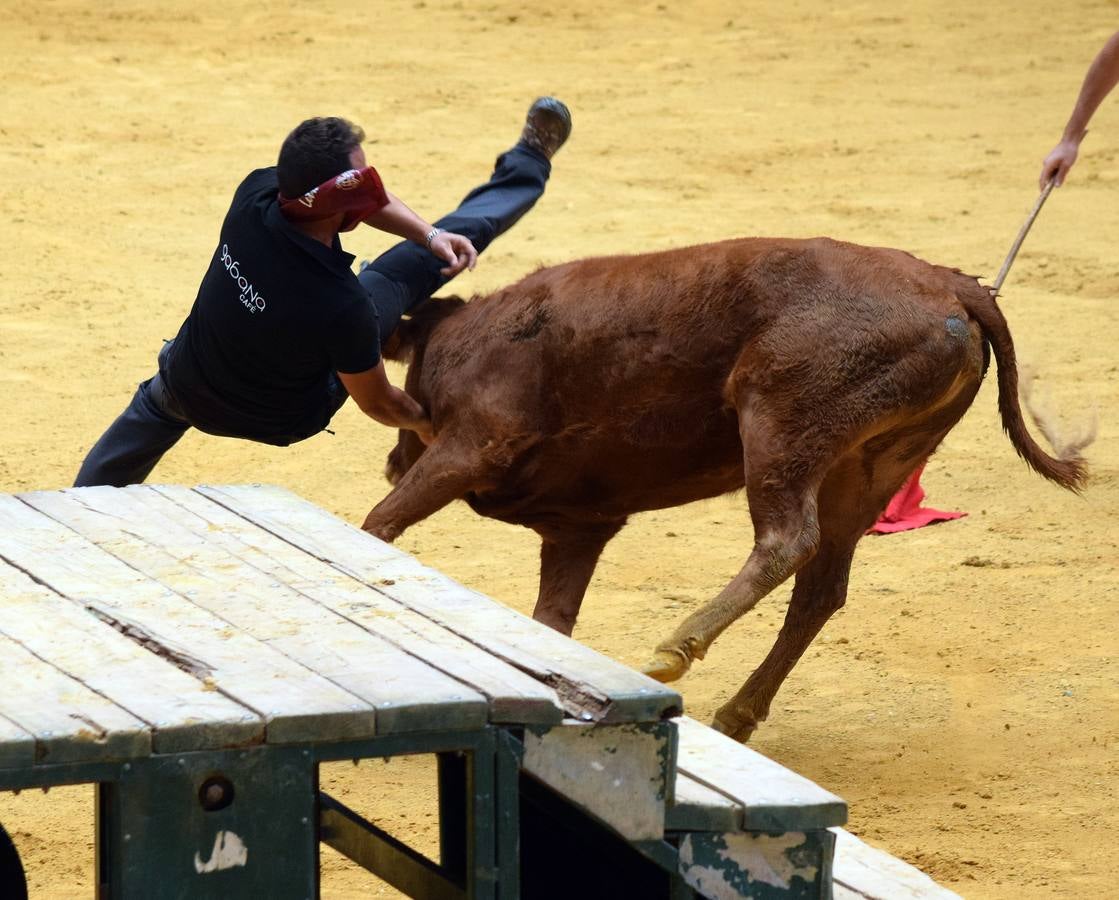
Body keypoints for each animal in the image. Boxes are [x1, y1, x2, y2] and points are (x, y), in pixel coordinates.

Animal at [358, 235, 1083, 743]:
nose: (392, 457)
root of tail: (951, 285)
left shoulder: (473, 445)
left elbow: (380, 524)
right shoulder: (578, 527)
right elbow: (552, 617)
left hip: (781, 419)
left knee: (787, 542)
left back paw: (673, 652)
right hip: (873, 463)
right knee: (821, 587)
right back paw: (736, 715)